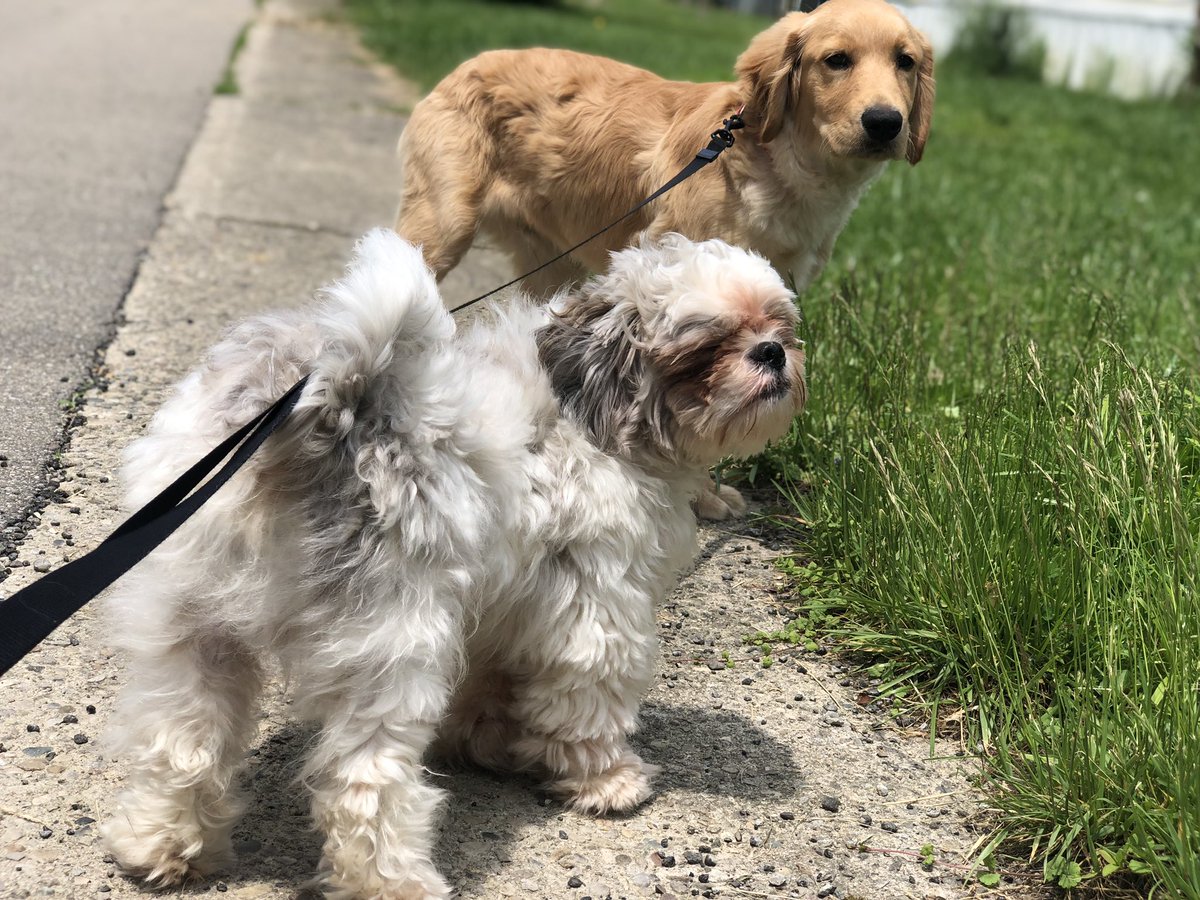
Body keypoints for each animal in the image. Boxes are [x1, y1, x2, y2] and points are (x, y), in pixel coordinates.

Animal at [103, 232, 806, 900]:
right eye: (707, 346)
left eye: (779, 324)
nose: (772, 352)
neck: (590, 412)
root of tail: (333, 405)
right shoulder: (597, 604)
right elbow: (587, 701)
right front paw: (606, 780)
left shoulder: (512, 599)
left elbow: (496, 680)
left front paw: (485, 742)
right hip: (389, 647)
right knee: (365, 783)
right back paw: (392, 883)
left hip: (194, 629)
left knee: (180, 742)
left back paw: (165, 847)